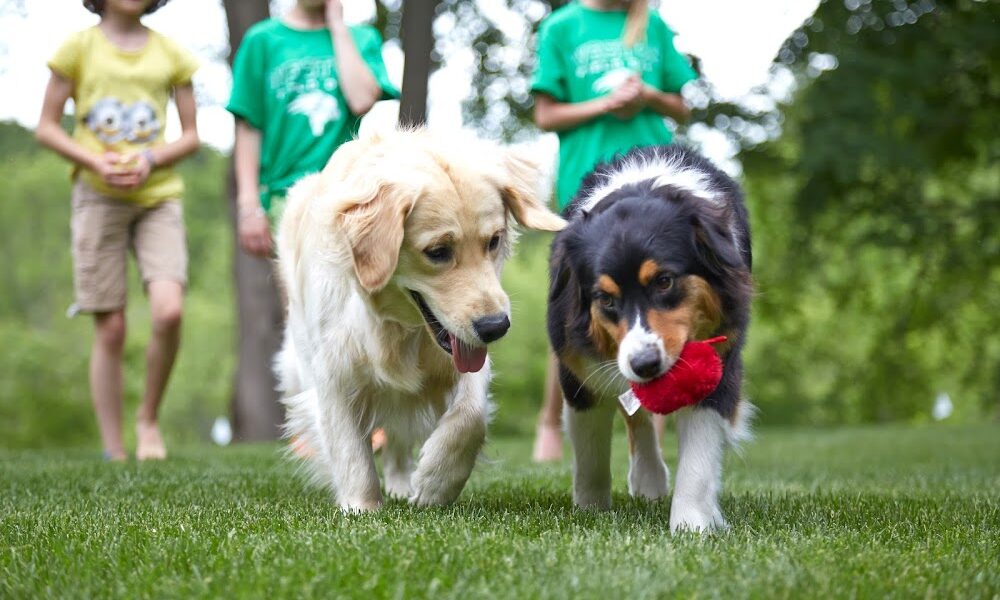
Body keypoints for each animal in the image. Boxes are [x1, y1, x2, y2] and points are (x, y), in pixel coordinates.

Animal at [274, 127, 568, 510]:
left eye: (494, 240)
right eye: (437, 252)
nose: (495, 327)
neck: (399, 329)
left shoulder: (465, 358)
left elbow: (471, 417)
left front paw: (435, 483)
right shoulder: (333, 371)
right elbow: (350, 449)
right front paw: (362, 508)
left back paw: (402, 484)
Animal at [552, 146, 752, 536]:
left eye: (664, 281)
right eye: (605, 299)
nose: (644, 365)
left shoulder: (720, 363)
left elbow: (699, 459)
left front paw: (692, 526)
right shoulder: (577, 368)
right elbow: (590, 449)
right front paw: (590, 508)